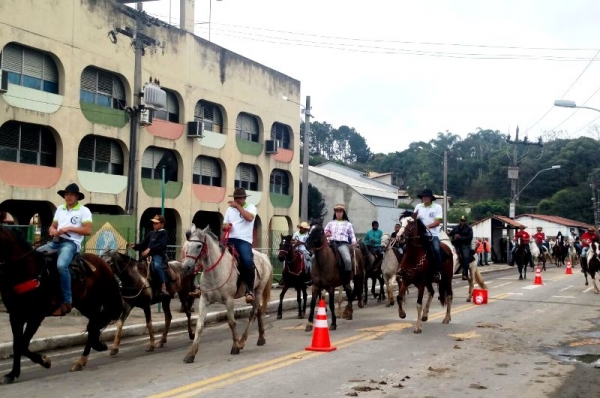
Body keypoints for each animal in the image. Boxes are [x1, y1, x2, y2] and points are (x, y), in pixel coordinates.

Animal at [0, 225, 123, 384]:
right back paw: (92, 350)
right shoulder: (15, 315)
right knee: (94, 324)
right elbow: (17, 344)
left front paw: (45, 361)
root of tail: (105, 264)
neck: (26, 271)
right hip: (84, 304)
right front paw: (13, 373)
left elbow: (22, 345)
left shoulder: (35, 316)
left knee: (94, 324)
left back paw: (81, 359)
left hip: (95, 301)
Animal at [178, 225, 272, 362]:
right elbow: (200, 326)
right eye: (187, 244)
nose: (186, 267)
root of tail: (264, 257)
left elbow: (232, 322)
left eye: (199, 246)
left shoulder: (229, 300)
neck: (215, 271)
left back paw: (242, 341)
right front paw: (191, 354)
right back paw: (261, 338)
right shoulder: (204, 300)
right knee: (258, 311)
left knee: (253, 314)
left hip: (258, 290)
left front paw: (235, 346)